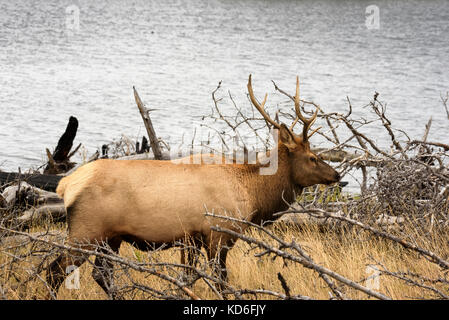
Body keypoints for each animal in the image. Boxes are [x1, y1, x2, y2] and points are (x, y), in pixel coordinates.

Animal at [46, 74, 340, 298]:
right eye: (313, 157)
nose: (337, 175)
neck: (251, 193)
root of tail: (65, 185)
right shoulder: (218, 233)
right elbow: (220, 282)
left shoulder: (192, 239)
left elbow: (189, 278)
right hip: (86, 232)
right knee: (55, 271)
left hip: (110, 238)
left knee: (100, 274)